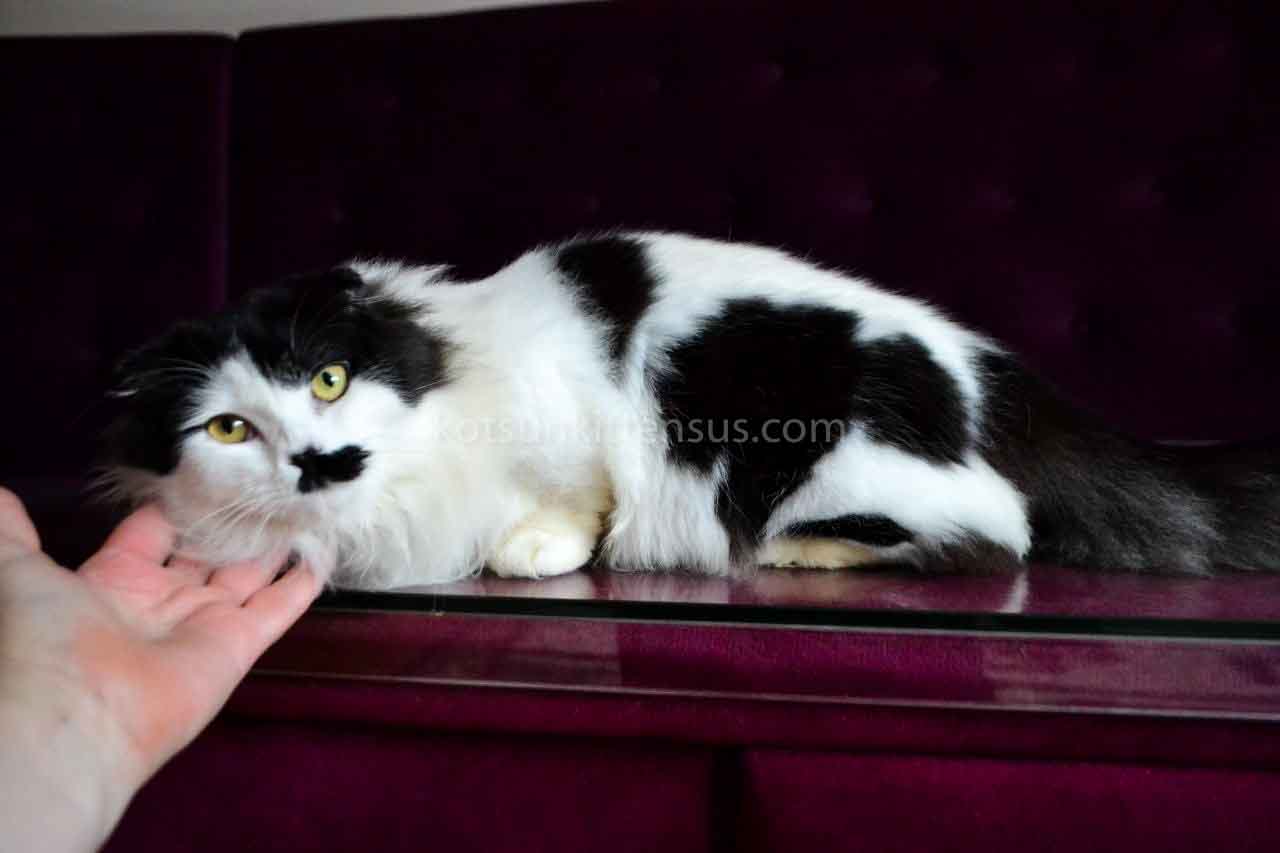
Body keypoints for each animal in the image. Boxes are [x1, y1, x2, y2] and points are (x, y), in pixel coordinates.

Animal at [100, 232, 1280, 589]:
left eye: (329, 380)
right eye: (231, 428)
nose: (316, 457)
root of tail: (994, 377)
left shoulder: (581, 425)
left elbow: (575, 506)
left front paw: (540, 549)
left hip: (833, 463)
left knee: (996, 534)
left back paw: (791, 553)